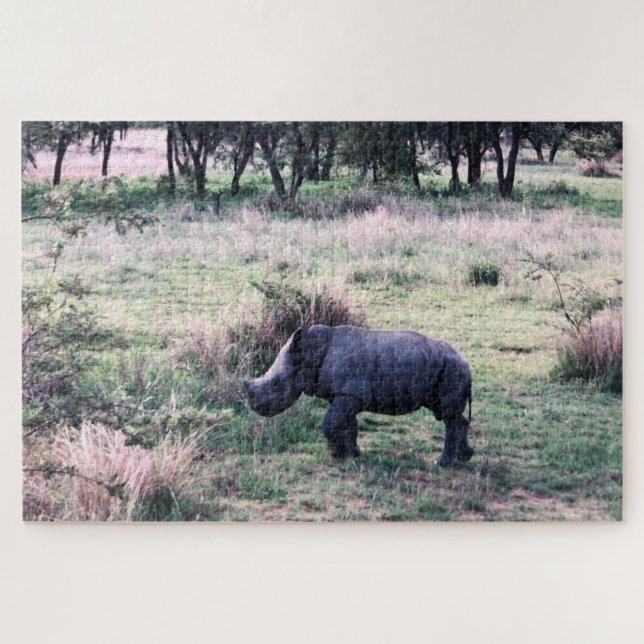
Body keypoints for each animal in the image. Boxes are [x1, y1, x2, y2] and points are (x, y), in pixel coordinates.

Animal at [243, 324, 474, 466]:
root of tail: (466, 361)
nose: (256, 409)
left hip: (452, 369)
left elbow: (330, 423)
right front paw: (352, 453)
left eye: (276, 383)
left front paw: (336, 455)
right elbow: (347, 424)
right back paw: (464, 457)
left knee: (448, 415)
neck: (309, 353)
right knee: (448, 414)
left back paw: (441, 464)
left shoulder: (352, 393)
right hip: (444, 367)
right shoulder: (345, 394)